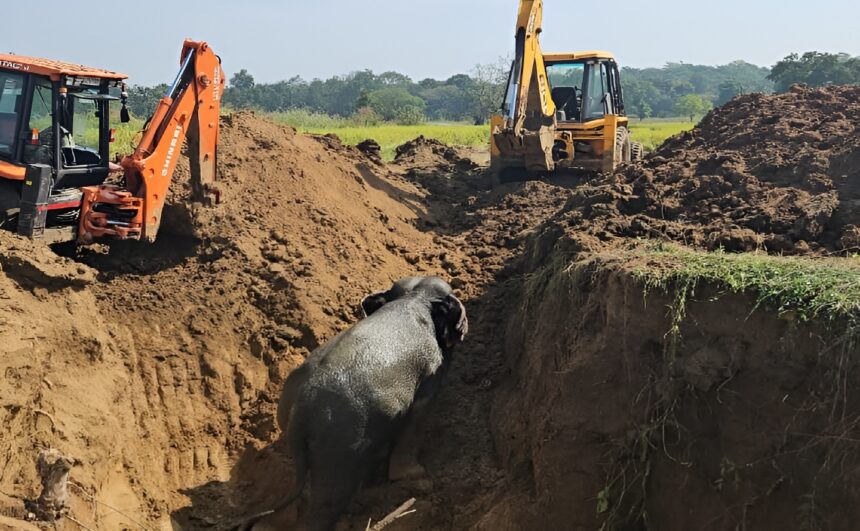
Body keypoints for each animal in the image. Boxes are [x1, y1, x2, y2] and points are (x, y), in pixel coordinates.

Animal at [244, 276, 468, 531]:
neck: (414, 298)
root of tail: (301, 408)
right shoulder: (429, 374)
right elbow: (417, 419)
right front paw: (418, 478)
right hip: (339, 445)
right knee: (328, 501)